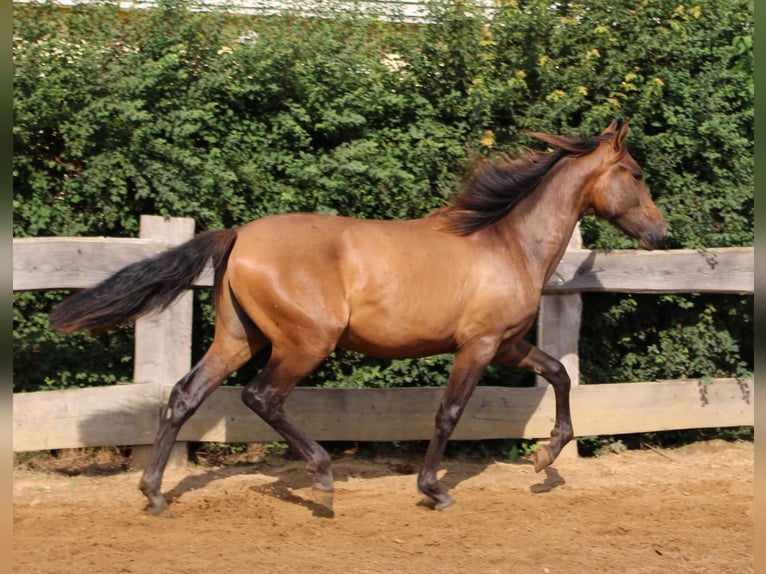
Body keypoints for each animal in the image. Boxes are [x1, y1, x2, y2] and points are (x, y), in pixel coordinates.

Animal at [51, 119, 668, 516]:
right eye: (637, 173)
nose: (661, 234)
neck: (507, 243)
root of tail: (240, 234)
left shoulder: (510, 344)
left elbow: (560, 374)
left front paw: (545, 456)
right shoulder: (478, 345)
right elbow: (449, 414)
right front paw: (434, 490)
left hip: (237, 337)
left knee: (184, 396)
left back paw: (155, 494)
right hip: (305, 342)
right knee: (261, 397)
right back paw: (322, 477)